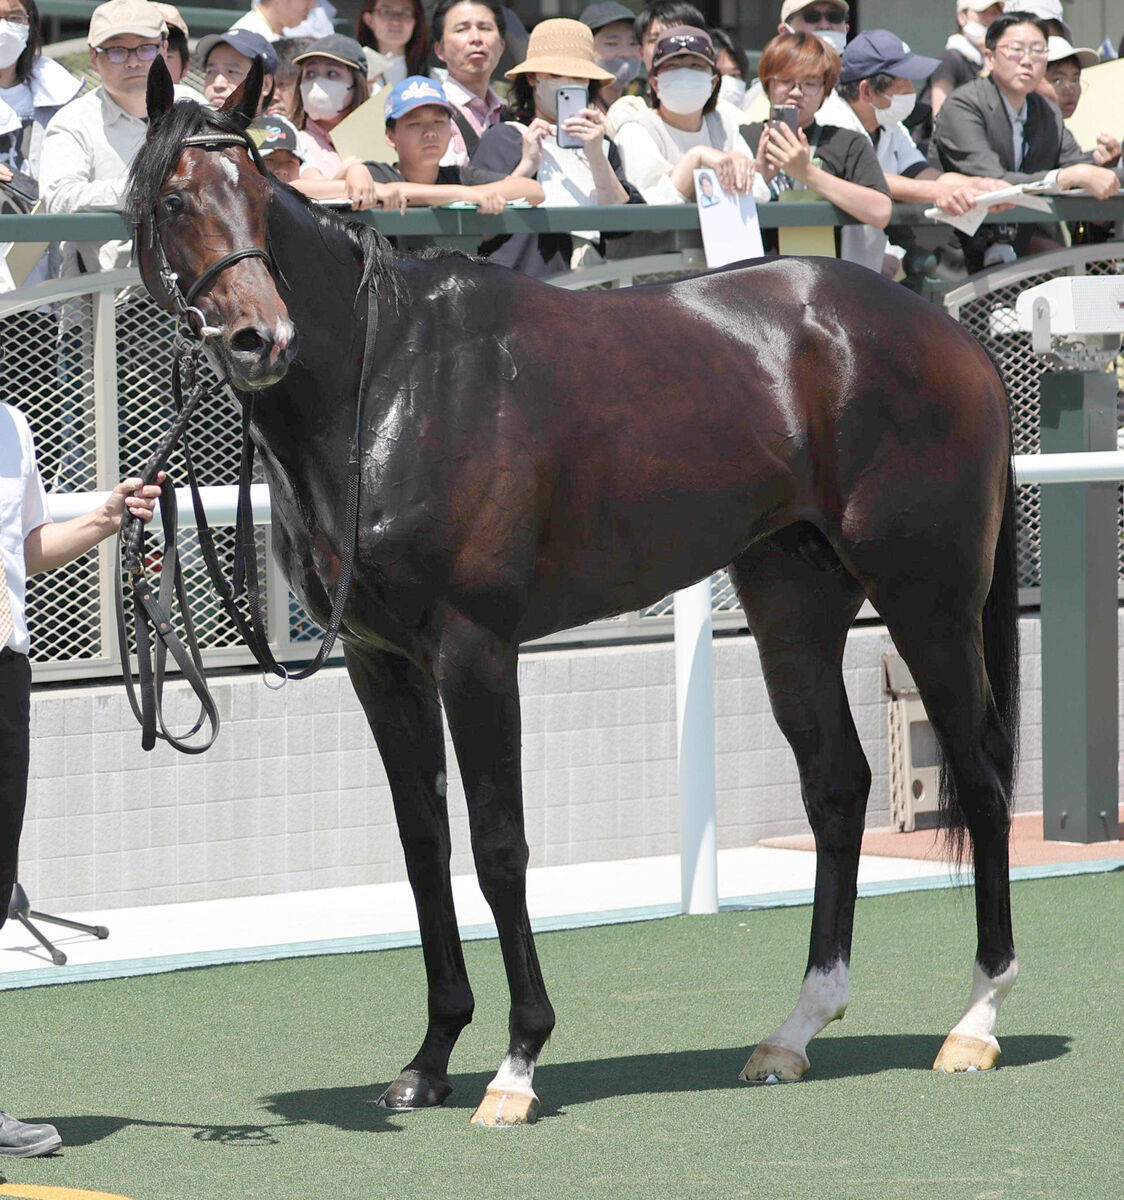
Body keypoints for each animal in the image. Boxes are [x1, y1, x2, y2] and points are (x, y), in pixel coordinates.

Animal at [129, 60, 1017, 1118]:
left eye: (260, 194)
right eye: (175, 200)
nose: (260, 337)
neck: (386, 382)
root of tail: (947, 334)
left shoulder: (474, 649)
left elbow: (499, 845)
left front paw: (516, 1063)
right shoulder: (380, 664)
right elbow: (423, 848)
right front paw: (430, 1059)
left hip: (928, 599)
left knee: (982, 774)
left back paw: (976, 1020)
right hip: (792, 605)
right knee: (837, 786)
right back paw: (794, 1032)